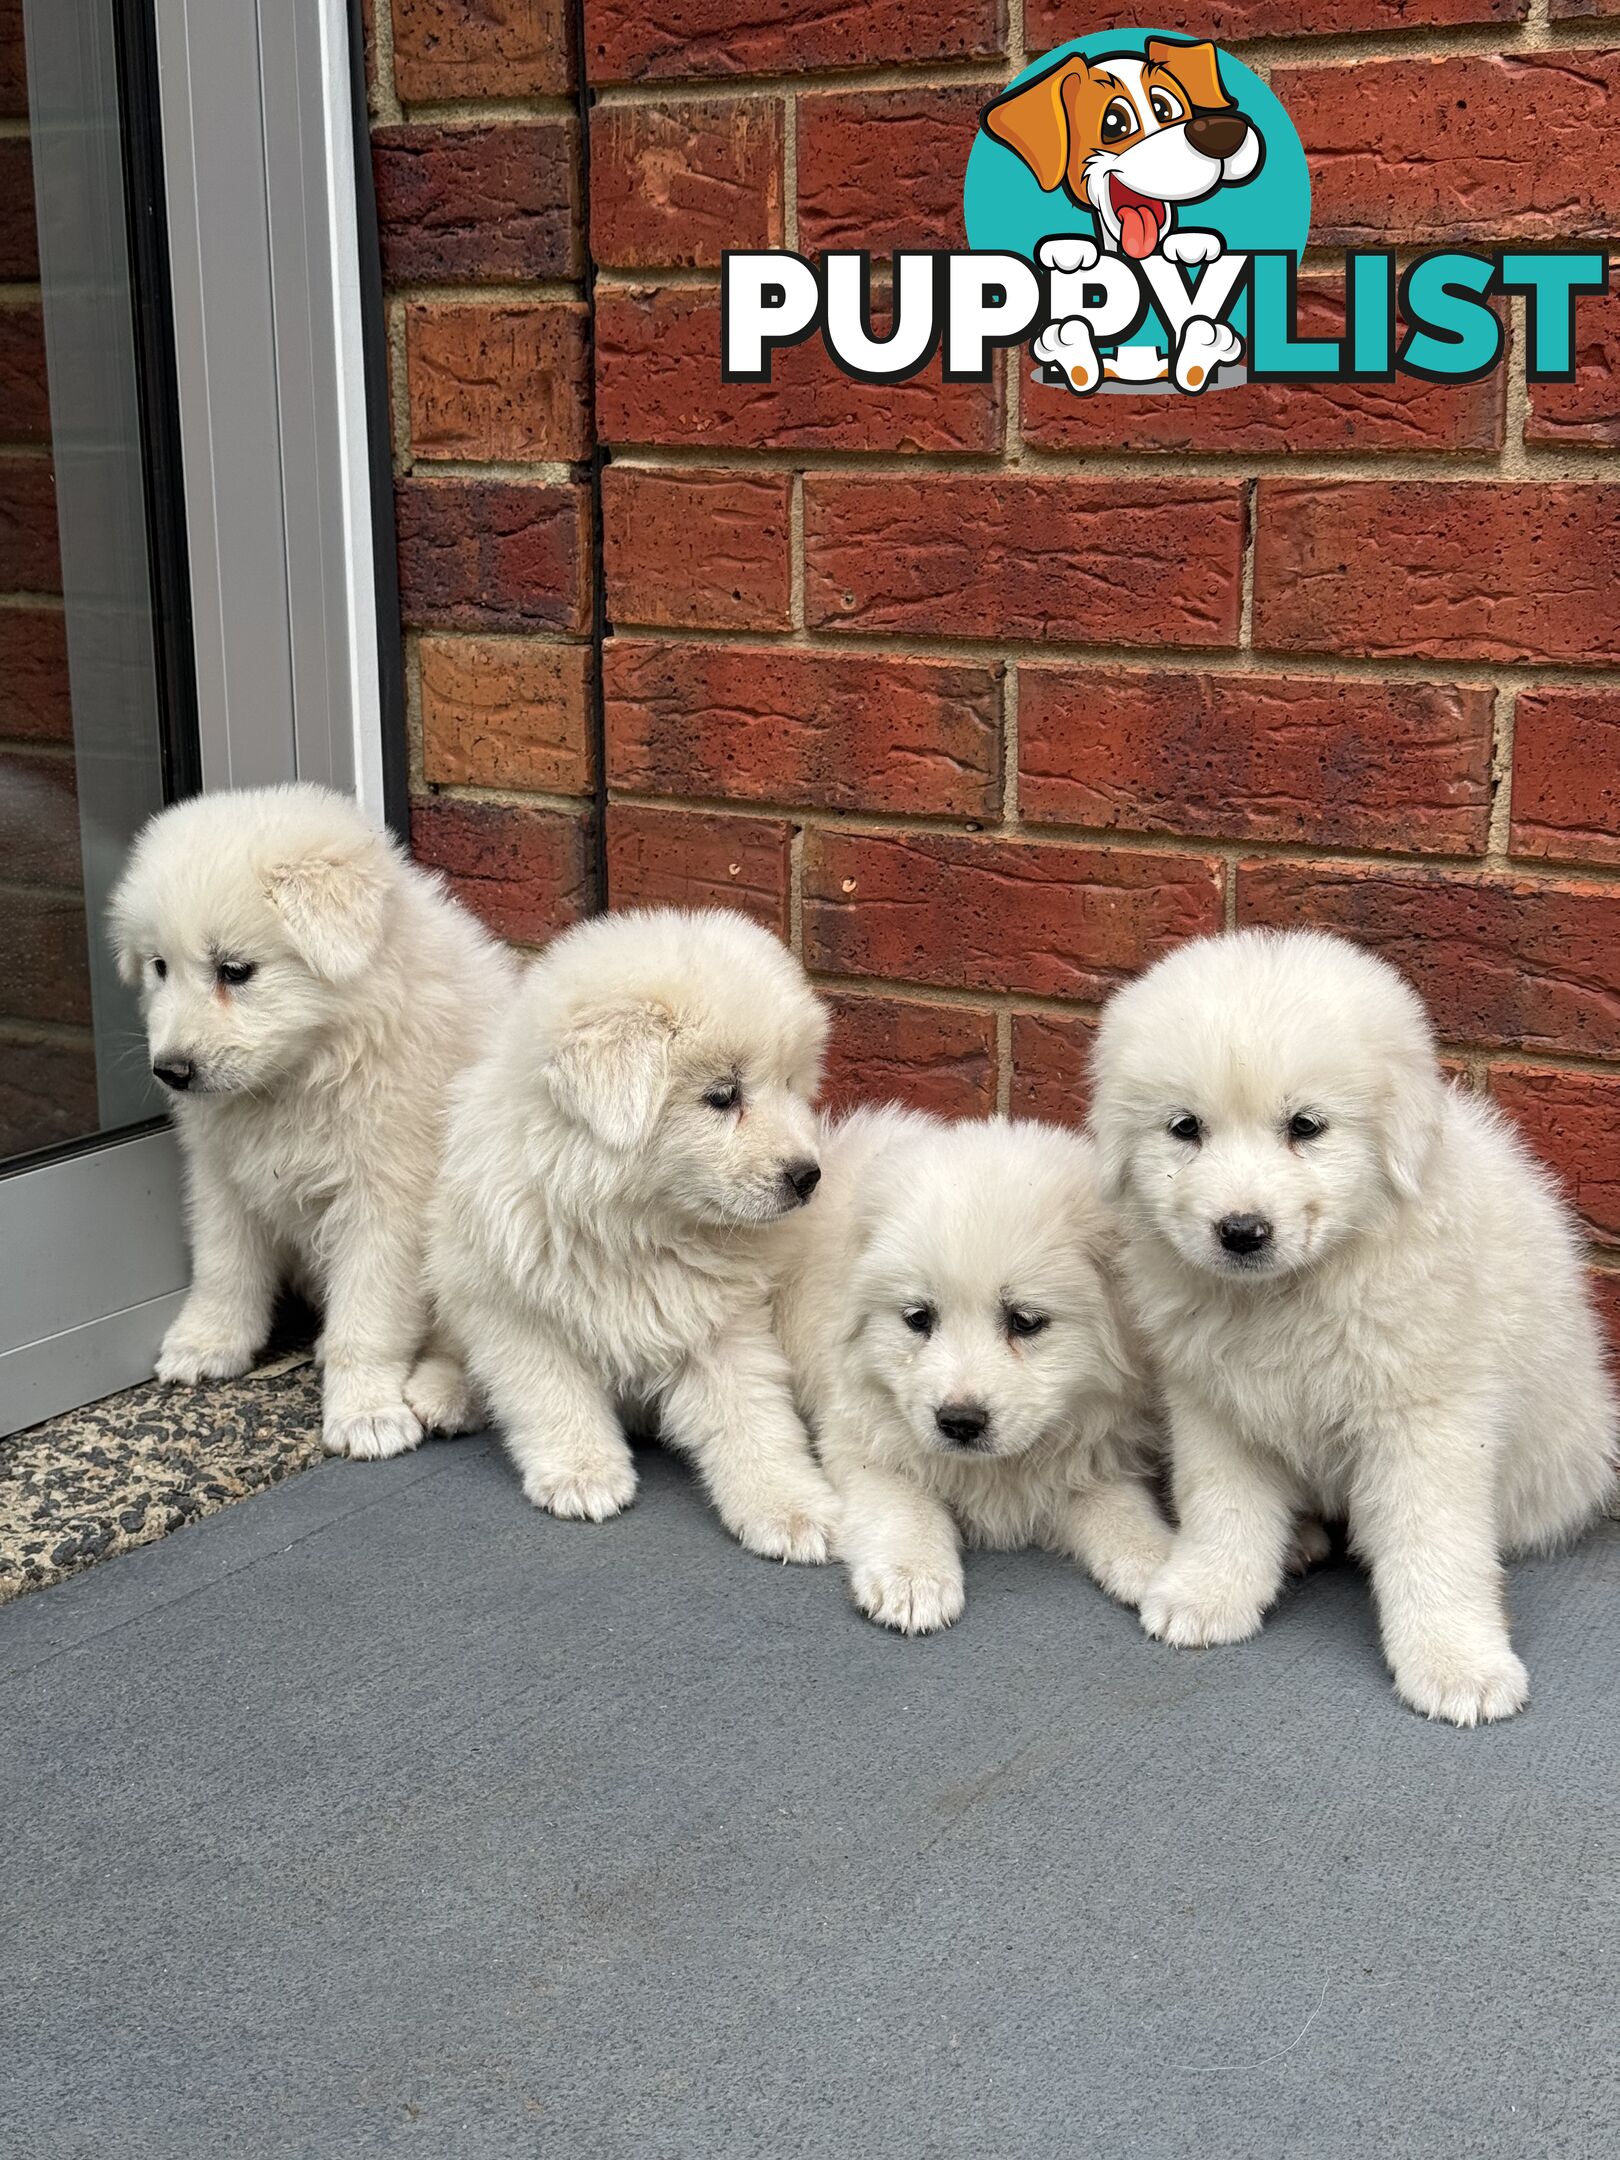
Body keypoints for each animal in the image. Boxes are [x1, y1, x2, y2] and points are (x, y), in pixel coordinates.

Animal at [425, 902, 842, 1563]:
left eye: (791, 1087)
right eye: (723, 1095)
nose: (809, 1176)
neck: (637, 1227)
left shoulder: (718, 1325)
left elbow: (754, 1417)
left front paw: (790, 1509)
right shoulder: (517, 1312)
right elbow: (554, 1394)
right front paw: (584, 1476)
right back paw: (442, 1394)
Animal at [768, 1105, 1175, 1624]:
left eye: (1025, 1321)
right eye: (918, 1318)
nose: (959, 1423)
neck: (997, 1469)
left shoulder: (1092, 1450)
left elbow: (1121, 1507)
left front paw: (1164, 1565)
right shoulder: (861, 1435)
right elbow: (902, 1503)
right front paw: (913, 1578)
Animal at [1092, 928, 1620, 1719]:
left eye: (1305, 1127)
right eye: (1185, 1128)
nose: (1240, 1232)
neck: (1291, 1292)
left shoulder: (1429, 1418)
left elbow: (1436, 1542)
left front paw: (1457, 1665)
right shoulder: (1213, 1403)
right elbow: (1223, 1506)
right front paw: (1206, 1594)